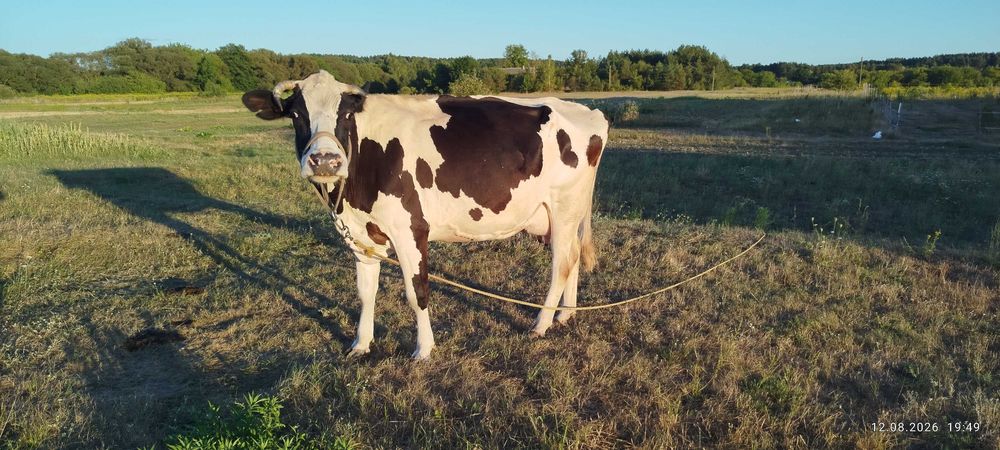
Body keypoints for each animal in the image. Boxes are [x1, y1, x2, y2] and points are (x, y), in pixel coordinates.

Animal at [242, 70, 608, 359]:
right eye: (295, 115)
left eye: (345, 116)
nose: (325, 161)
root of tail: (585, 110)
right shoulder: (360, 234)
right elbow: (365, 291)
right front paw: (361, 343)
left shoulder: (410, 230)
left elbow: (416, 291)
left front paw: (424, 349)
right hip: (563, 216)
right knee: (574, 256)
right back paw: (564, 315)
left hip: (563, 207)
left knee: (562, 262)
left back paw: (542, 323)